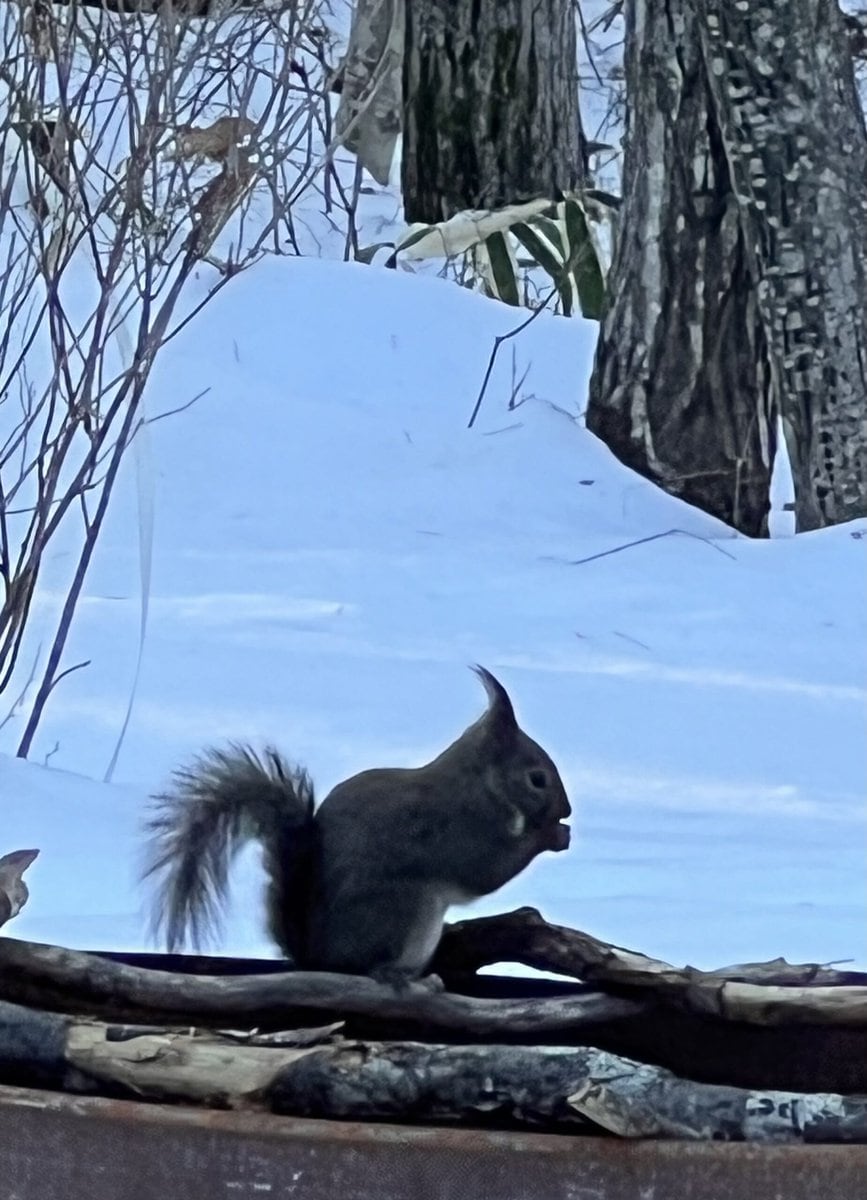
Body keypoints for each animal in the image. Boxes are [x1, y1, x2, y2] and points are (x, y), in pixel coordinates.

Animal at [143, 667, 566, 984]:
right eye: (537, 779)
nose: (567, 810)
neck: (477, 784)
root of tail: (318, 958)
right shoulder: (458, 827)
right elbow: (485, 871)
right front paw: (550, 835)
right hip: (403, 907)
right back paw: (394, 974)